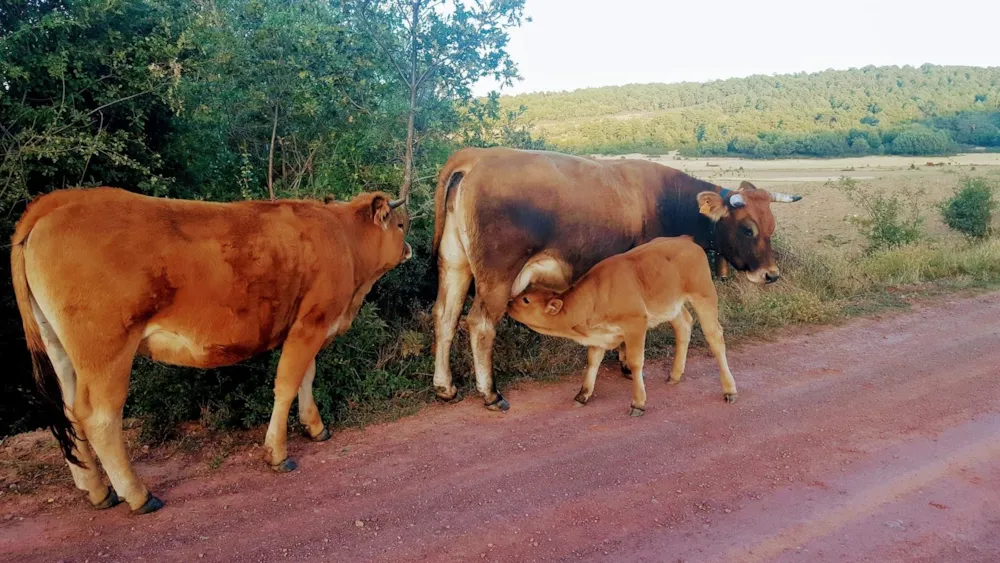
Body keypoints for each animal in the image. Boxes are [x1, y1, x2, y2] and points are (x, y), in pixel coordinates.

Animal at [11, 187, 410, 512]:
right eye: (402, 224)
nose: (410, 248)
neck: (344, 237)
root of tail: (63, 200)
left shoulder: (308, 326)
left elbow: (306, 377)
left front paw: (314, 426)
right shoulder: (311, 323)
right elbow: (287, 384)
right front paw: (277, 453)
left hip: (61, 348)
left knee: (69, 412)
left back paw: (95, 489)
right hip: (106, 351)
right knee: (99, 417)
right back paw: (138, 495)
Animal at [508, 236, 736, 416]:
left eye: (526, 300)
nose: (508, 303)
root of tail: (687, 240)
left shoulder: (636, 323)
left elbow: (635, 362)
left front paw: (638, 403)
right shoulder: (599, 335)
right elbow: (592, 362)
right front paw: (583, 395)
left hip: (704, 294)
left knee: (715, 337)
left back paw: (729, 389)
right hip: (671, 305)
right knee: (684, 326)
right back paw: (674, 374)